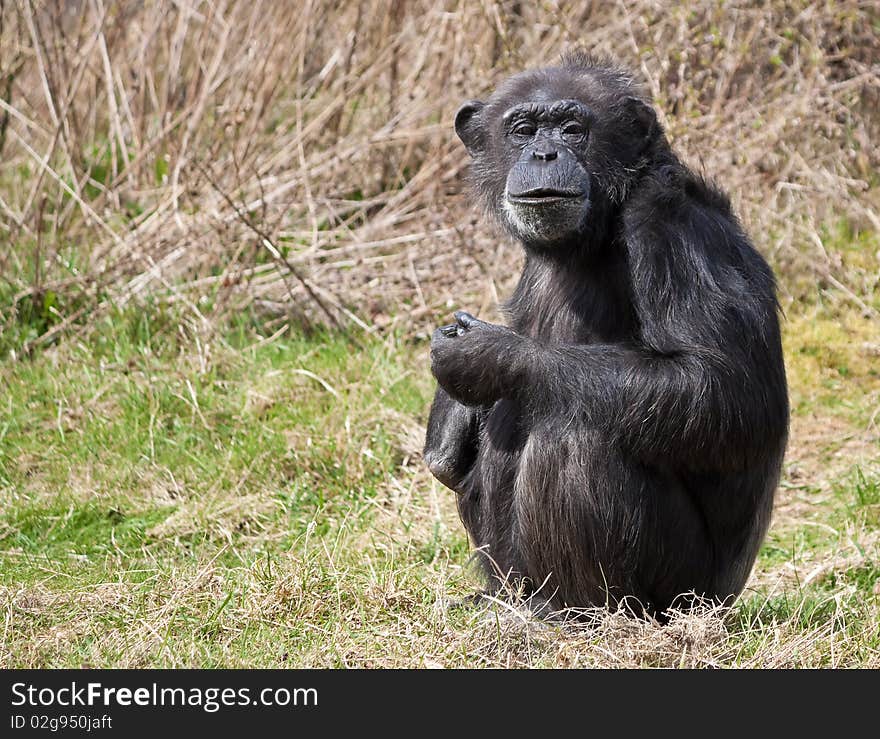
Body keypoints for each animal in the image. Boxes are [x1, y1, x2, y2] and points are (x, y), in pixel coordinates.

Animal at [422, 49, 788, 620]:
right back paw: (504, 599)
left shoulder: (672, 228)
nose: (545, 153)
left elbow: (724, 388)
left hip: (685, 593)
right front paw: (451, 415)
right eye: (523, 130)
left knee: (574, 432)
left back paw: (580, 614)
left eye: (573, 129)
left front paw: (486, 355)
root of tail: (725, 600)